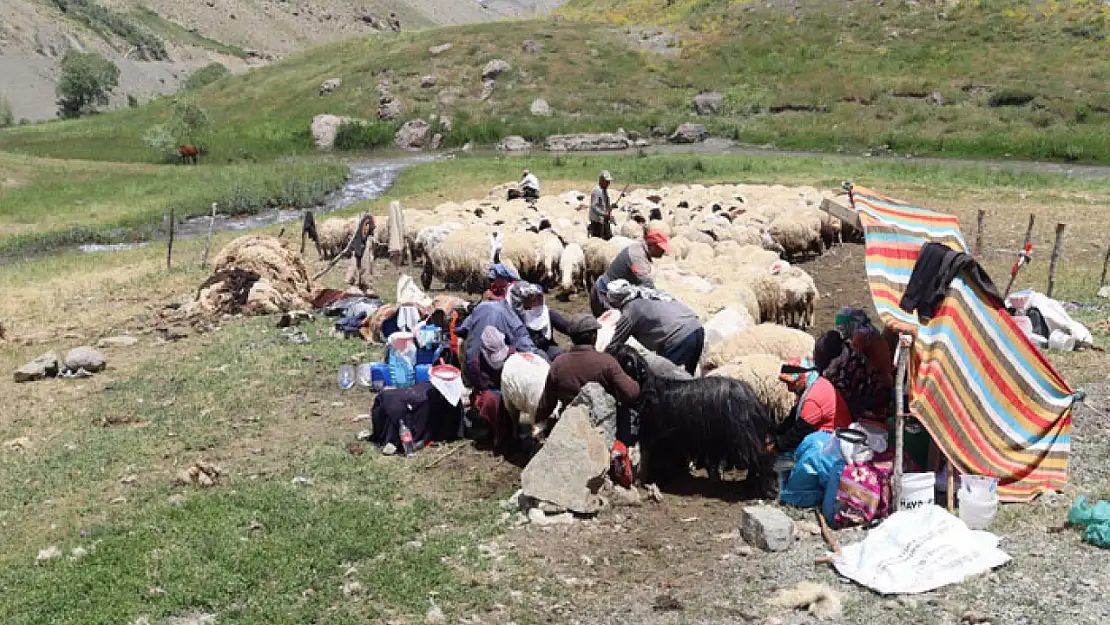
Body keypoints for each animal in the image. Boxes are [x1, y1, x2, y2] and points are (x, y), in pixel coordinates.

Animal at [612, 344, 777, 497]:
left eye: (617, 356)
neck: (647, 387)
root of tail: (752, 397)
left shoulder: (654, 436)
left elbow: (649, 459)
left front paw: (644, 481)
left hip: (745, 436)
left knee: (763, 459)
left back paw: (767, 490)